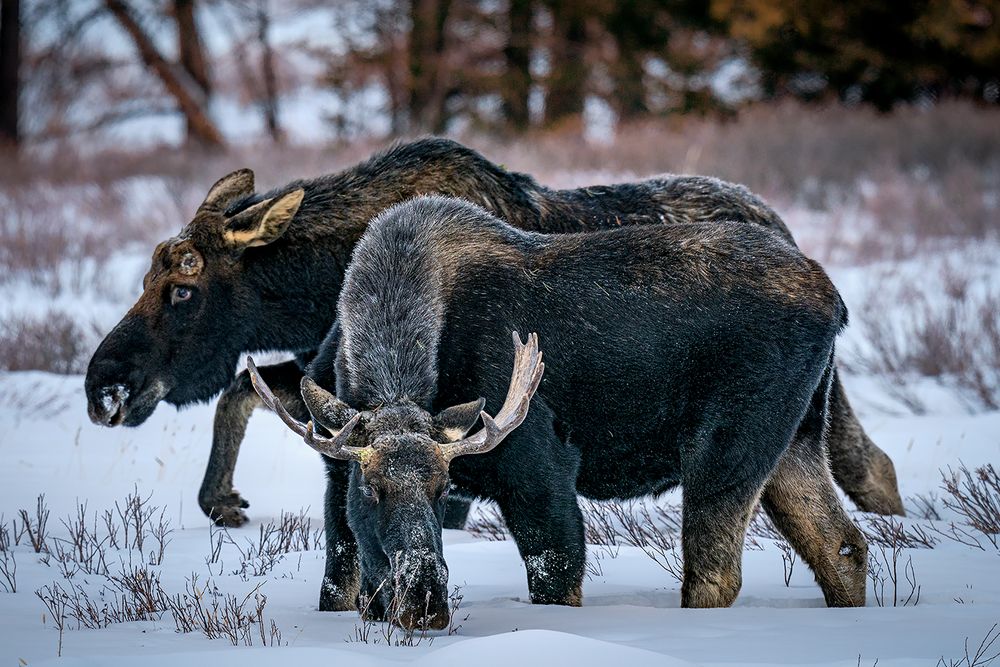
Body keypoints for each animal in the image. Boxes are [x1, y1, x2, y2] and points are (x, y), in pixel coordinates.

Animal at [248, 194, 868, 632]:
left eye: (443, 487)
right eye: (372, 489)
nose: (425, 603)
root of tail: (837, 303)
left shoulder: (540, 472)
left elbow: (557, 576)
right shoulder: (336, 476)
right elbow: (340, 583)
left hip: (729, 442)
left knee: (716, 574)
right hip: (797, 437)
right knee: (841, 544)